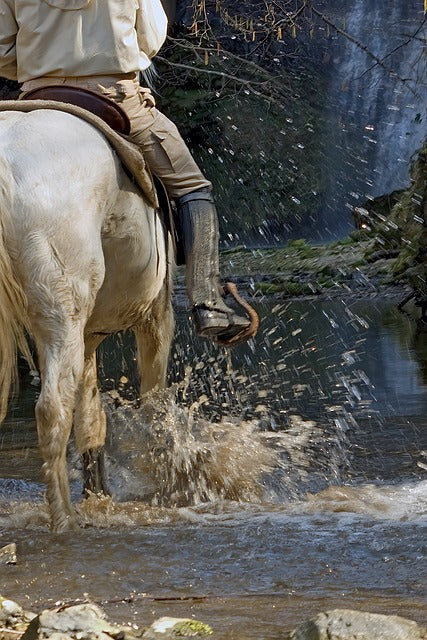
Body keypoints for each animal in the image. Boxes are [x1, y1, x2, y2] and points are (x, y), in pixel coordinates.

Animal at [0, 106, 174, 532]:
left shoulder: (90, 335)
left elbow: (91, 417)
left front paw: (99, 494)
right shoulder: (156, 314)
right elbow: (154, 404)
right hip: (61, 316)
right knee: (52, 408)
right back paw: (63, 519)